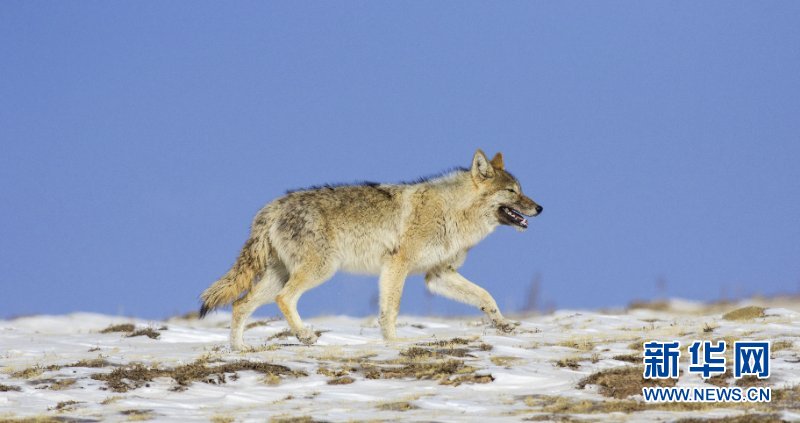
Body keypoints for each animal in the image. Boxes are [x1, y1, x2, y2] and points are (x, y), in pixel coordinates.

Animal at [200, 150, 544, 352]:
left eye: (522, 190)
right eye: (513, 192)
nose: (540, 207)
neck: (454, 212)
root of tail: (271, 207)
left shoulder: (437, 275)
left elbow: (486, 296)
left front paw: (503, 325)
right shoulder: (396, 266)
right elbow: (390, 310)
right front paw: (395, 342)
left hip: (280, 276)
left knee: (240, 305)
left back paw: (240, 350)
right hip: (320, 270)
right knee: (283, 299)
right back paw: (305, 336)